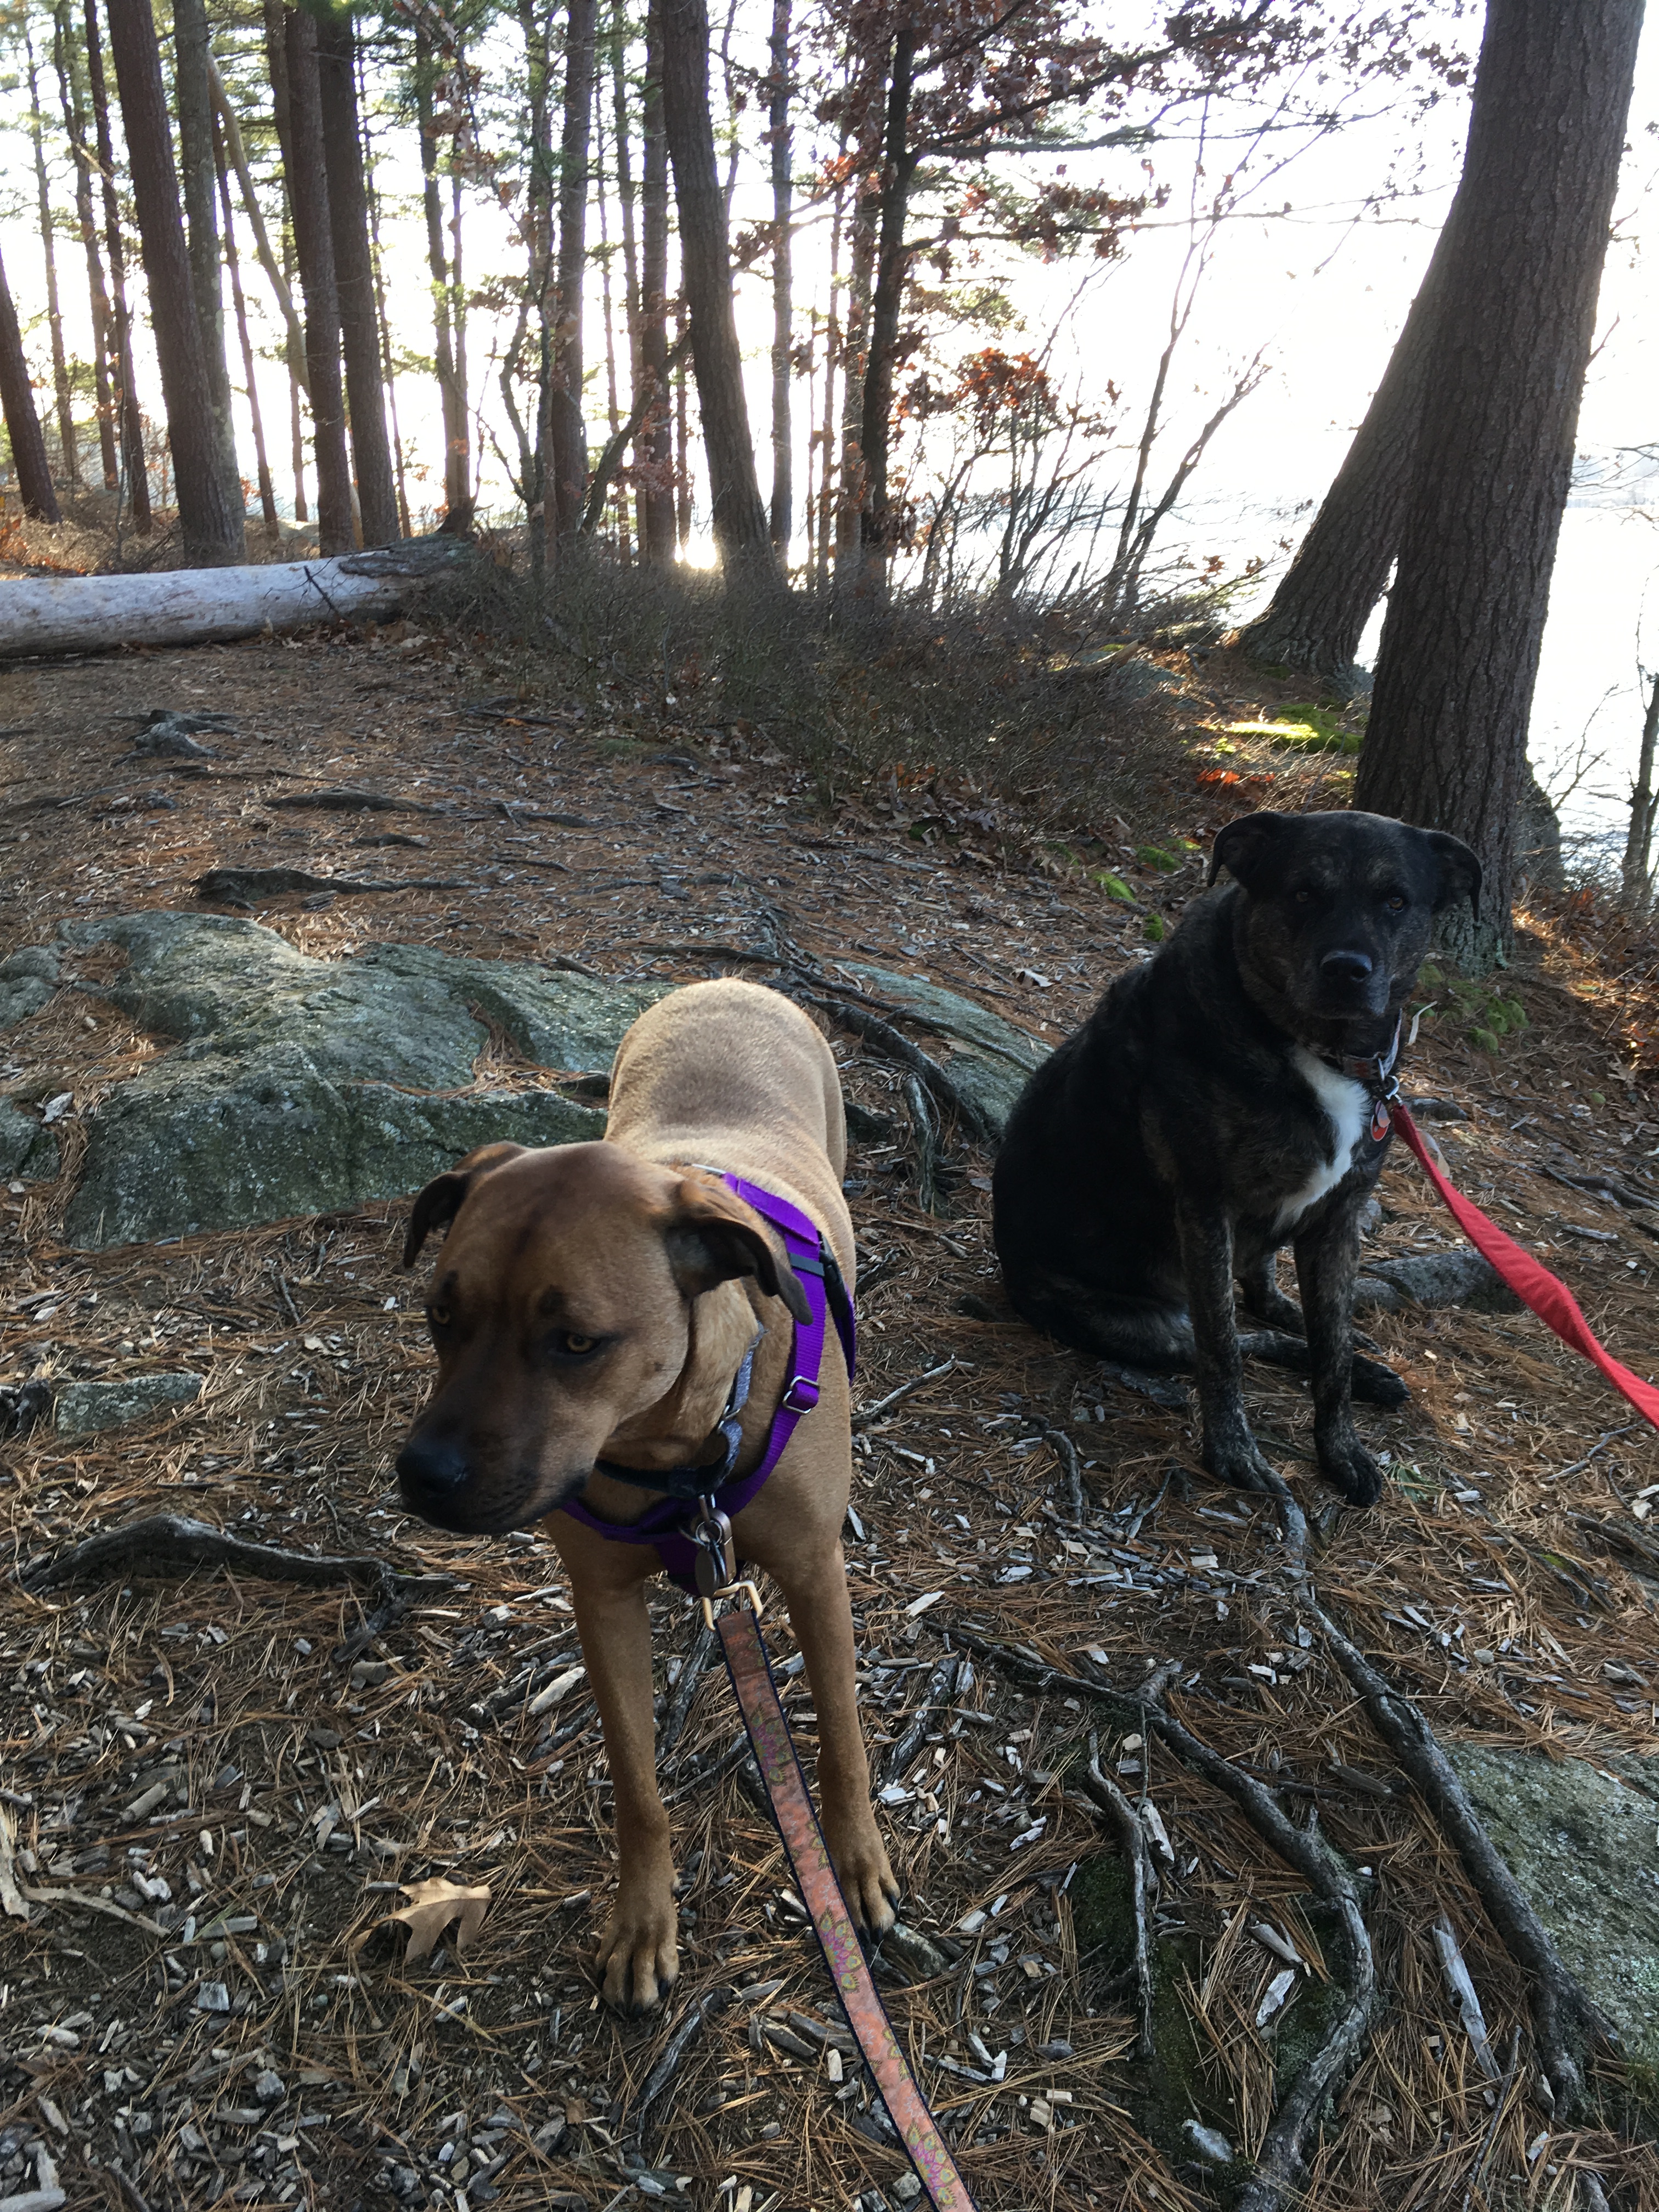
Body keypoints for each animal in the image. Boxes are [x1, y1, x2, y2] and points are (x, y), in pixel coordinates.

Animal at [396, 978, 898, 2010]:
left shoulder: (815, 1575)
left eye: (577, 1342)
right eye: (440, 1314)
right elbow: (635, 1784)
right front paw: (642, 1922)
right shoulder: (602, 1600)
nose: (421, 1476)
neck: (673, 1447)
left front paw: (854, 1863)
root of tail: (729, 982)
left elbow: (839, 1737)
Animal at [992, 809, 1481, 1505]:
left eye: (1396, 901)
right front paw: (1231, 1450)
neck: (1316, 1048)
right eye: (1302, 892)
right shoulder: (1206, 1209)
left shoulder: (1338, 1223)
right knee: (1230, 1339)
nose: (1347, 969)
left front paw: (1342, 1446)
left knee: (1279, 1315)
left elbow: (1330, 1354)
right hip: (1132, 1325)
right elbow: (1223, 1349)